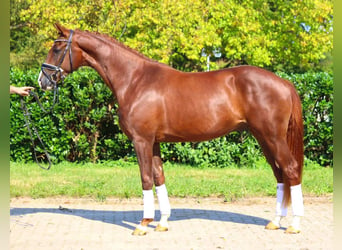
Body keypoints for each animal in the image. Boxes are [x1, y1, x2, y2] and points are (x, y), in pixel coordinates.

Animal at [38, 23, 304, 234]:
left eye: (57, 48)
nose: (42, 81)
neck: (135, 79)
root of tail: (284, 82)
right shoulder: (154, 141)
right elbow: (159, 176)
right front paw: (163, 222)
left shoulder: (141, 140)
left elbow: (146, 178)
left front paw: (143, 224)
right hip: (263, 138)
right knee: (280, 174)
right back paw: (275, 221)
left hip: (272, 137)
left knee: (290, 169)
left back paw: (294, 225)